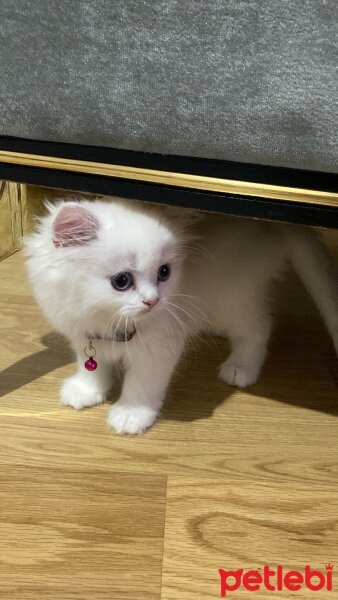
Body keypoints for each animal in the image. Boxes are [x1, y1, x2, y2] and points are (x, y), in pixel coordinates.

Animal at [24, 199, 338, 434]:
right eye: (122, 281)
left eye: (164, 273)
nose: (153, 301)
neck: (107, 319)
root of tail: (275, 224)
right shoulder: (83, 335)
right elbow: (92, 368)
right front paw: (87, 391)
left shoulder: (158, 350)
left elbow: (142, 385)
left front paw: (131, 415)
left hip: (234, 297)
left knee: (259, 329)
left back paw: (241, 367)